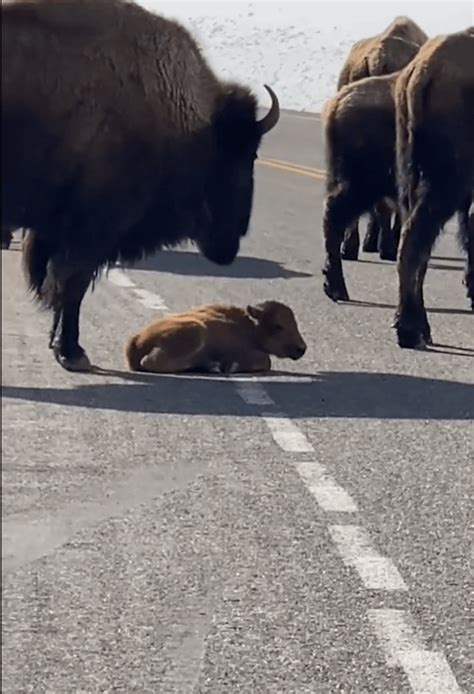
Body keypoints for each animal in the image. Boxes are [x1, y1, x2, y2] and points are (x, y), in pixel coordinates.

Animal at [0, 0, 280, 372]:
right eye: (244, 155)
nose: (230, 241)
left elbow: (59, 287)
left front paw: (59, 345)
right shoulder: (91, 234)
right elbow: (71, 286)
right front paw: (73, 352)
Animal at [124, 300, 308, 376]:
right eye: (279, 326)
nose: (301, 348)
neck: (250, 326)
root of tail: (137, 339)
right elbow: (265, 360)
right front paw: (231, 367)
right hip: (196, 331)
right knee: (150, 362)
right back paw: (212, 366)